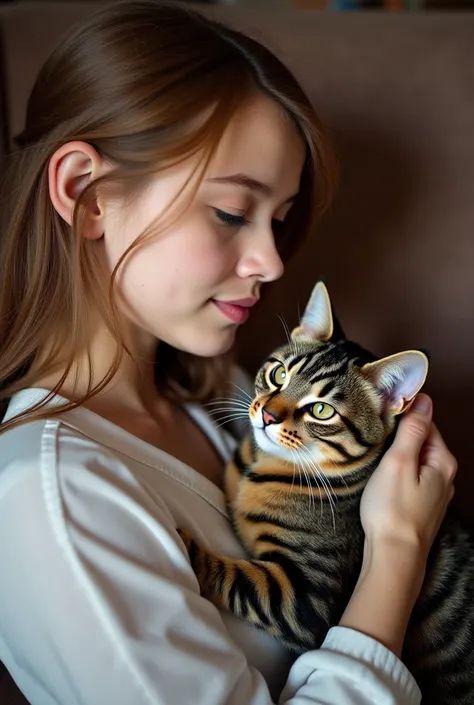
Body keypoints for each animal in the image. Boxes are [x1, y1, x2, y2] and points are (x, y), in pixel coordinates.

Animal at [179, 282, 474, 704]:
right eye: (279, 373)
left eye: (321, 410)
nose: (267, 415)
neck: (264, 469)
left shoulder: (305, 599)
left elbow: (234, 578)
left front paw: (182, 546)